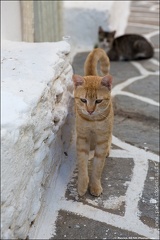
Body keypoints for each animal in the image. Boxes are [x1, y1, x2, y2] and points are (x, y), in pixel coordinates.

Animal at [72, 47, 113, 196]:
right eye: (83, 100)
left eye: (98, 101)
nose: (89, 111)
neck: (92, 121)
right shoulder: (82, 139)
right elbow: (82, 164)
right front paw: (83, 185)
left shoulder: (102, 141)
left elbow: (97, 167)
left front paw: (95, 186)